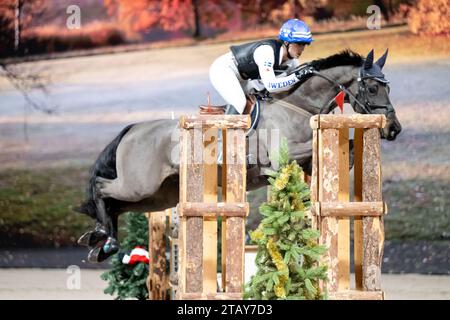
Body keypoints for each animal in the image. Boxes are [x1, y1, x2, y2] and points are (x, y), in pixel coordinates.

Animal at [75, 48, 402, 262]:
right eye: (373, 88)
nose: (394, 129)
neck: (297, 104)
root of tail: (132, 129)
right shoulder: (283, 154)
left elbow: (341, 150)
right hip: (139, 185)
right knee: (102, 188)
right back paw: (105, 238)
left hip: (157, 196)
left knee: (116, 205)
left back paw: (102, 240)